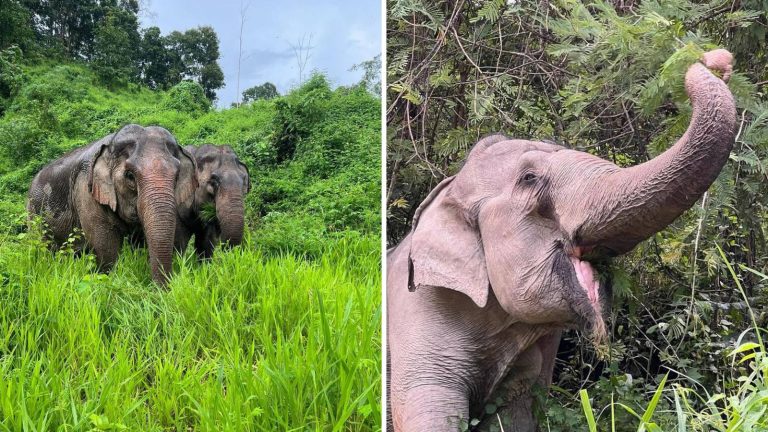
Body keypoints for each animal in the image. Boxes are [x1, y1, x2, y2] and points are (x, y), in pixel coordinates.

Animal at [27, 124, 198, 285]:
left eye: (177, 176)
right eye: (130, 176)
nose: (161, 290)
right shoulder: (85, 189)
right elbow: (106, 245)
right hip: (34, 214)